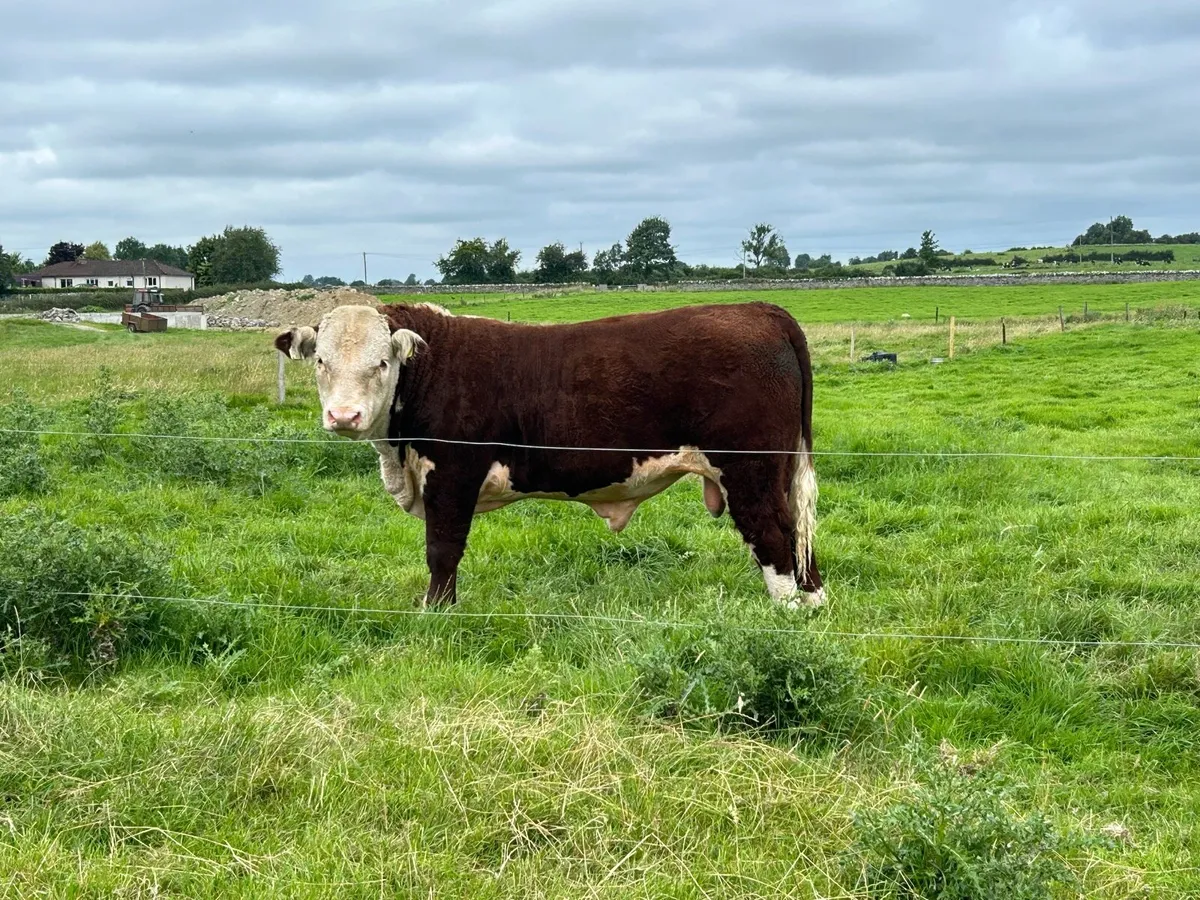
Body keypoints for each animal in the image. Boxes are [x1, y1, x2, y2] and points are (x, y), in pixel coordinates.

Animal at [274, 301, 824, 609]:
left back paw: (787, 614)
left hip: (748, 467)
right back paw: (815, 604)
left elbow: (442, 549)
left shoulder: (452, 473)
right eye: (320, 361)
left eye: (382, 363)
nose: (344, 416)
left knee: (772, 534)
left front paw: (436, 611)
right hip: (776, 470)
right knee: (798, 532)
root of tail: (760, 309)